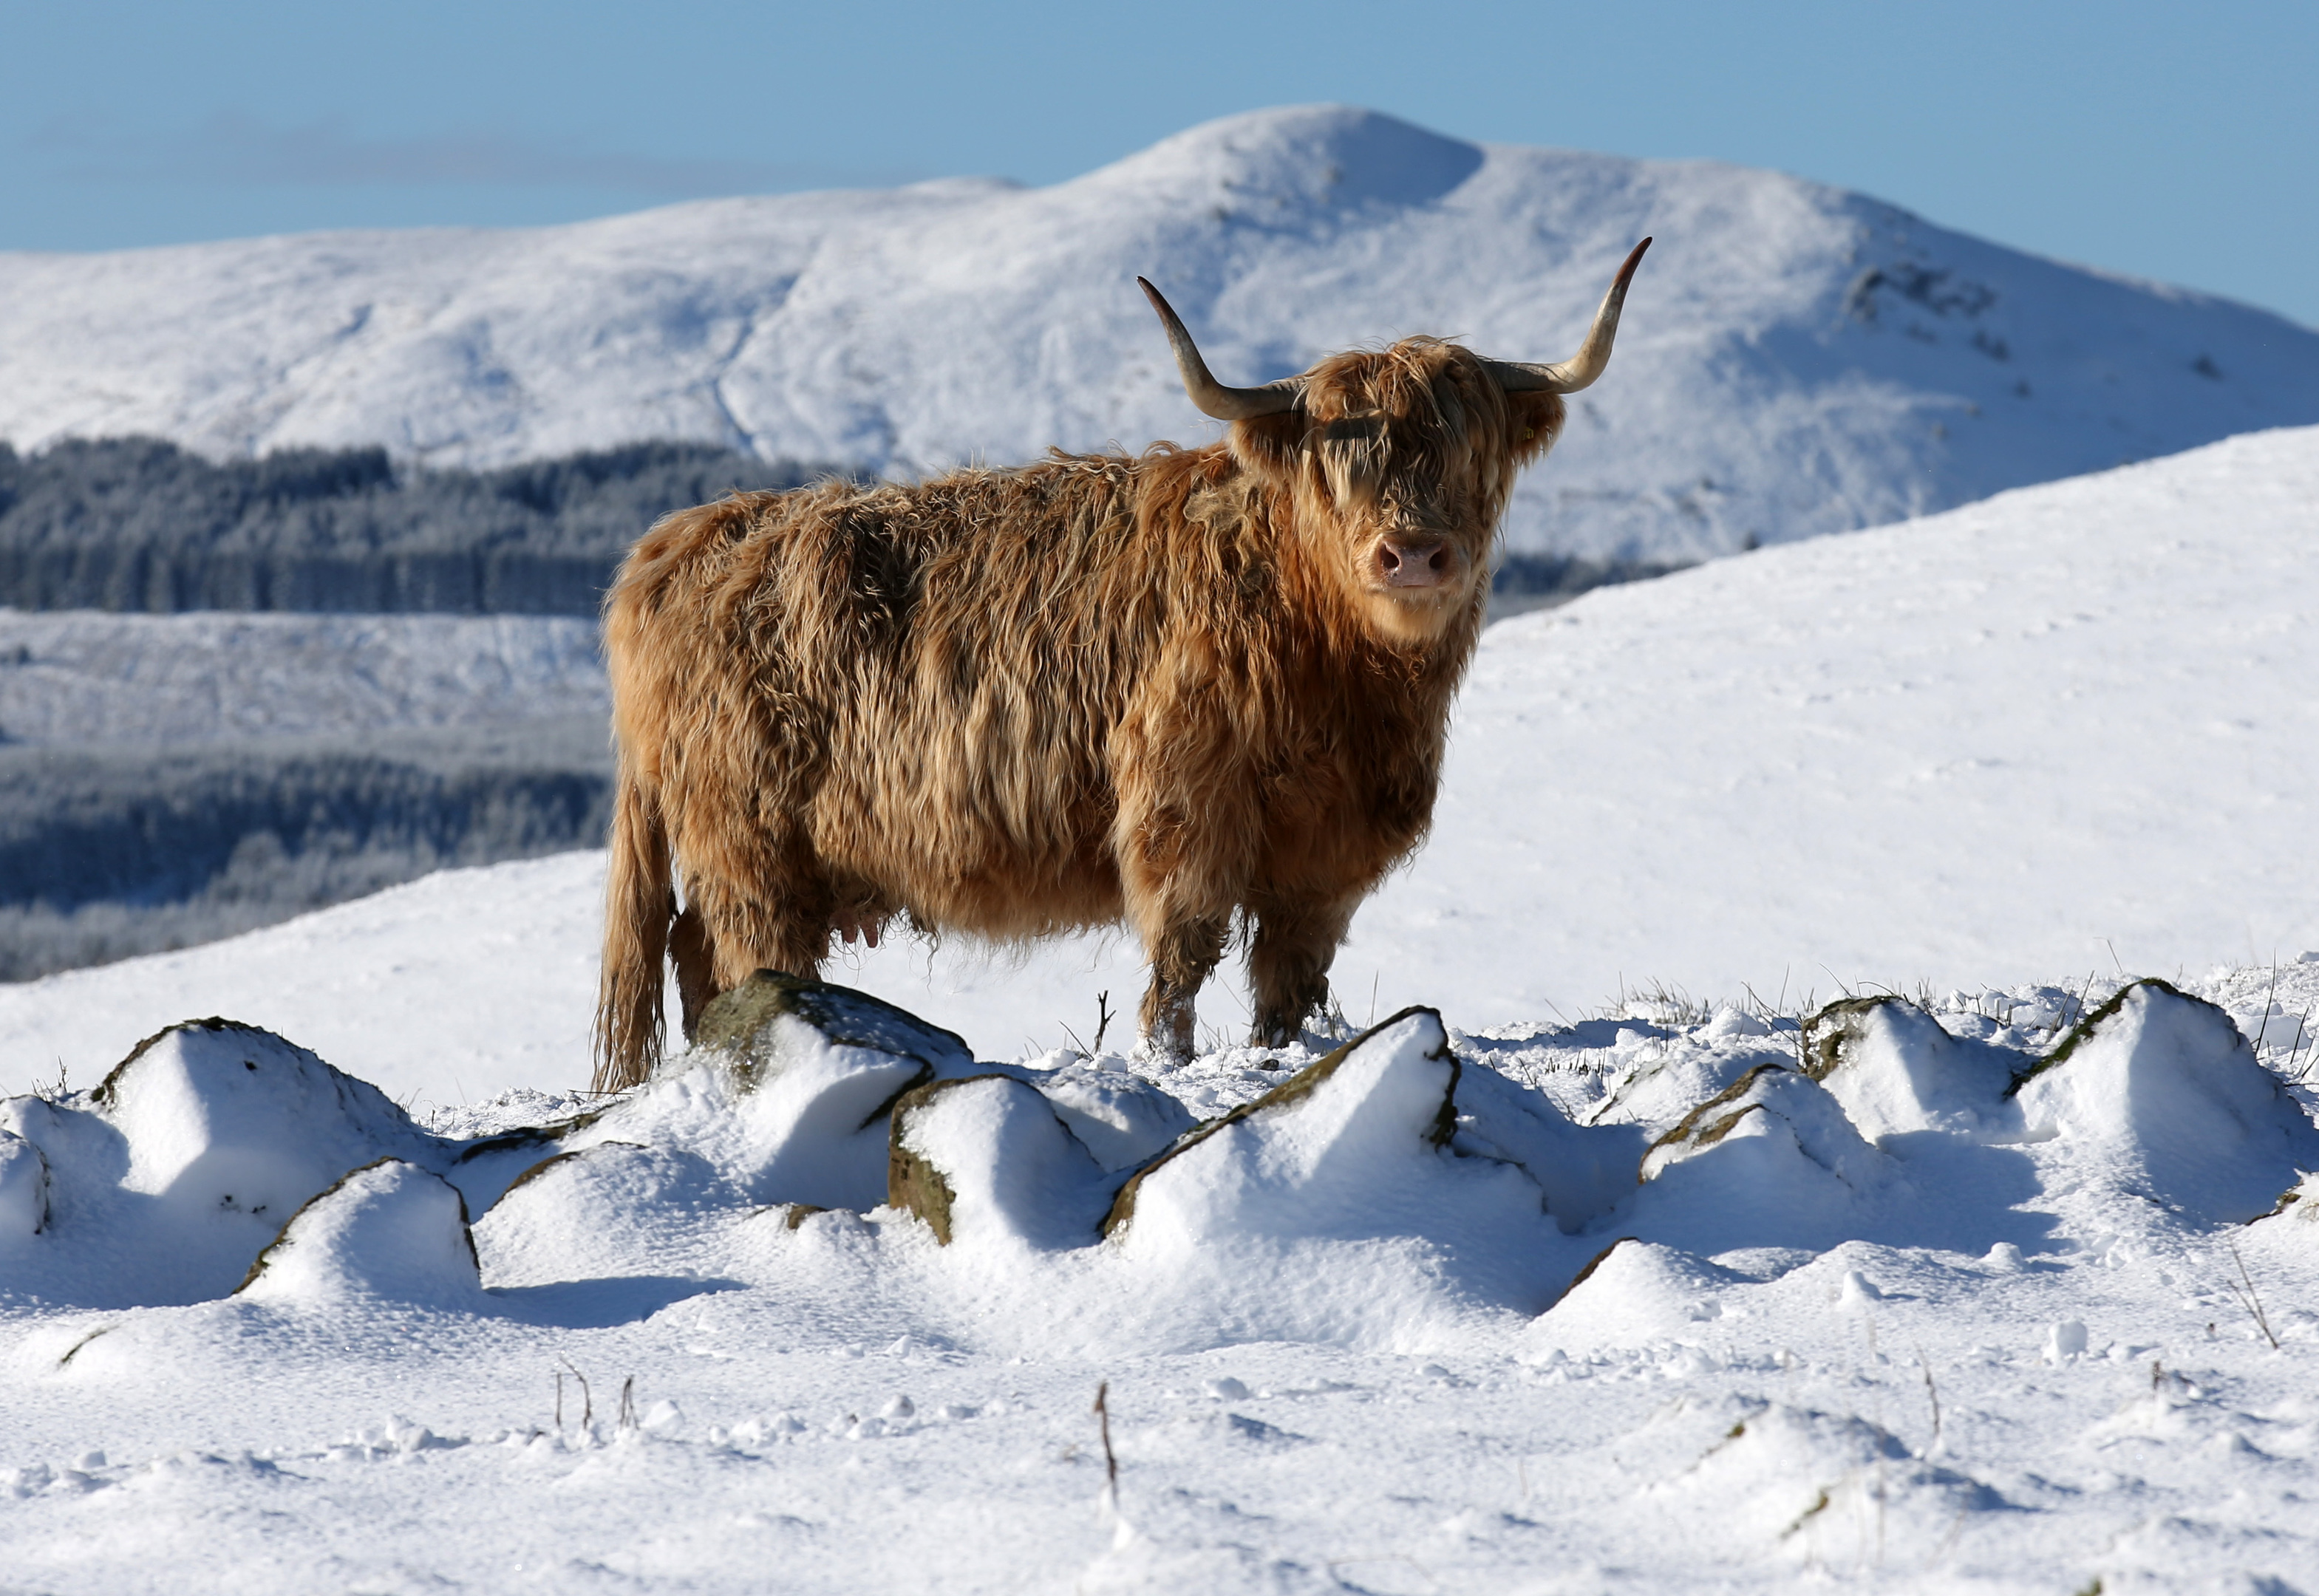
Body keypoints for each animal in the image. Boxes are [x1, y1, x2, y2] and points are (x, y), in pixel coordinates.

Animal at [598, 236, 1651, 1090]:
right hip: (750, 842)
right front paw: (1167, 1060)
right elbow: (1184, 952)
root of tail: (682, 539)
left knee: (691, 948)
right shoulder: (1183, 801)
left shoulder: (1330, 849)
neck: (1341, 676)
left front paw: (1280, 1057)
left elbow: (1290, 978)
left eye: (1469, 453)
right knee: (741, 953)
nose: (1414, 553)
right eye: (1337, 466)